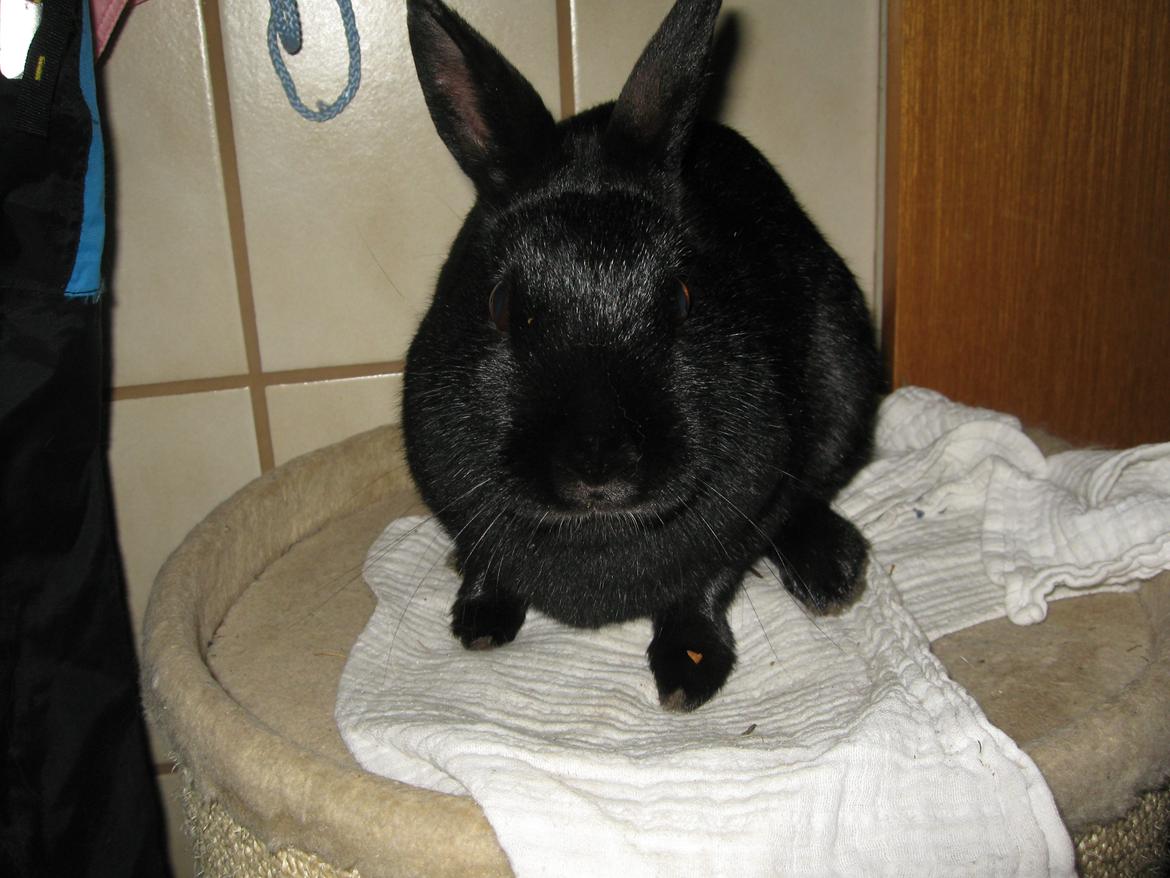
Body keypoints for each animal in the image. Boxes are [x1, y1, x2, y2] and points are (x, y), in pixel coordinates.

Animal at [401, 0, 882, 711]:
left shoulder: (746, 506)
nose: (598, 467)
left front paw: (688, 674)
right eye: (500, 305)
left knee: (812, 493)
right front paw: (480, 621)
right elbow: (489, 559)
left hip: (843, 378)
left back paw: (831, 573)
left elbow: (703, 586)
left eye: (682, 299)